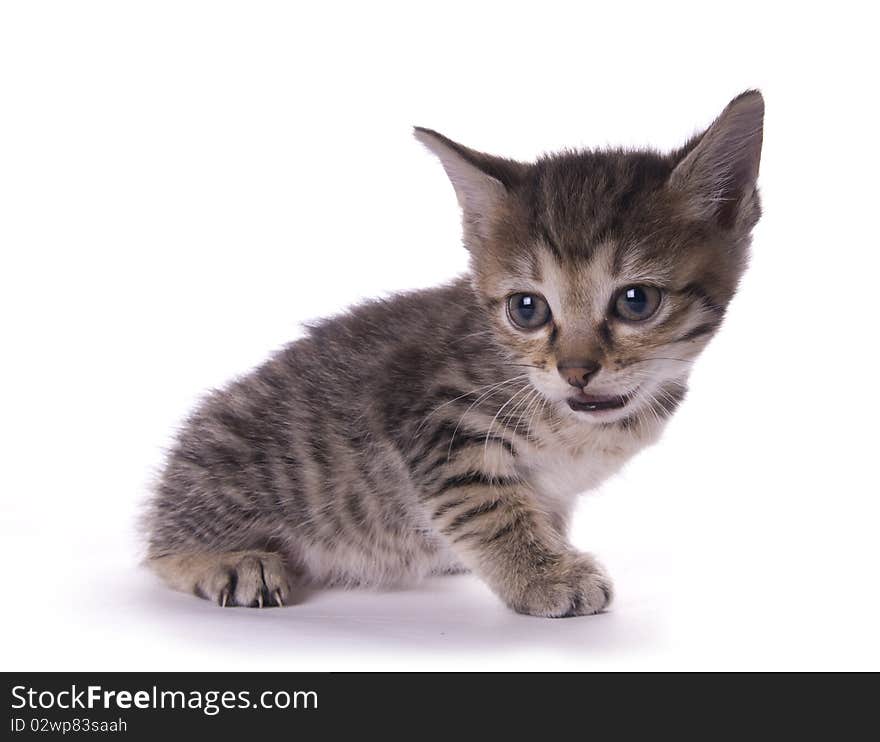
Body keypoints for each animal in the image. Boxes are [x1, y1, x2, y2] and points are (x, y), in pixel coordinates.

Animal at [146, 91, 764, 616]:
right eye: (527, 309)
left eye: (636, 301)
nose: (576, 371)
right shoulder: (430, 417)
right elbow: (484, 507)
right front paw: (545, 575)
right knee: (160, 550)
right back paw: (233, 561)